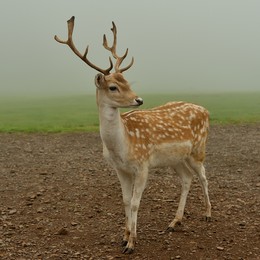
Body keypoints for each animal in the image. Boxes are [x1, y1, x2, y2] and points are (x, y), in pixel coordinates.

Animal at [54, 16, 211, 254]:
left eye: (128, 82)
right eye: (113, 87)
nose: (139, 100)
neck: (122, 146)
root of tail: (206, 110)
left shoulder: (143, 165)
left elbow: (136, 203)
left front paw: (132, 243)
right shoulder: (120, 169)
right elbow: (126, 201)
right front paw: (124, 236)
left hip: (198, 149)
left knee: (203, 175)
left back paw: (208, 214)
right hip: (176, 159)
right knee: (187, 178)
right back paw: (175, 222)